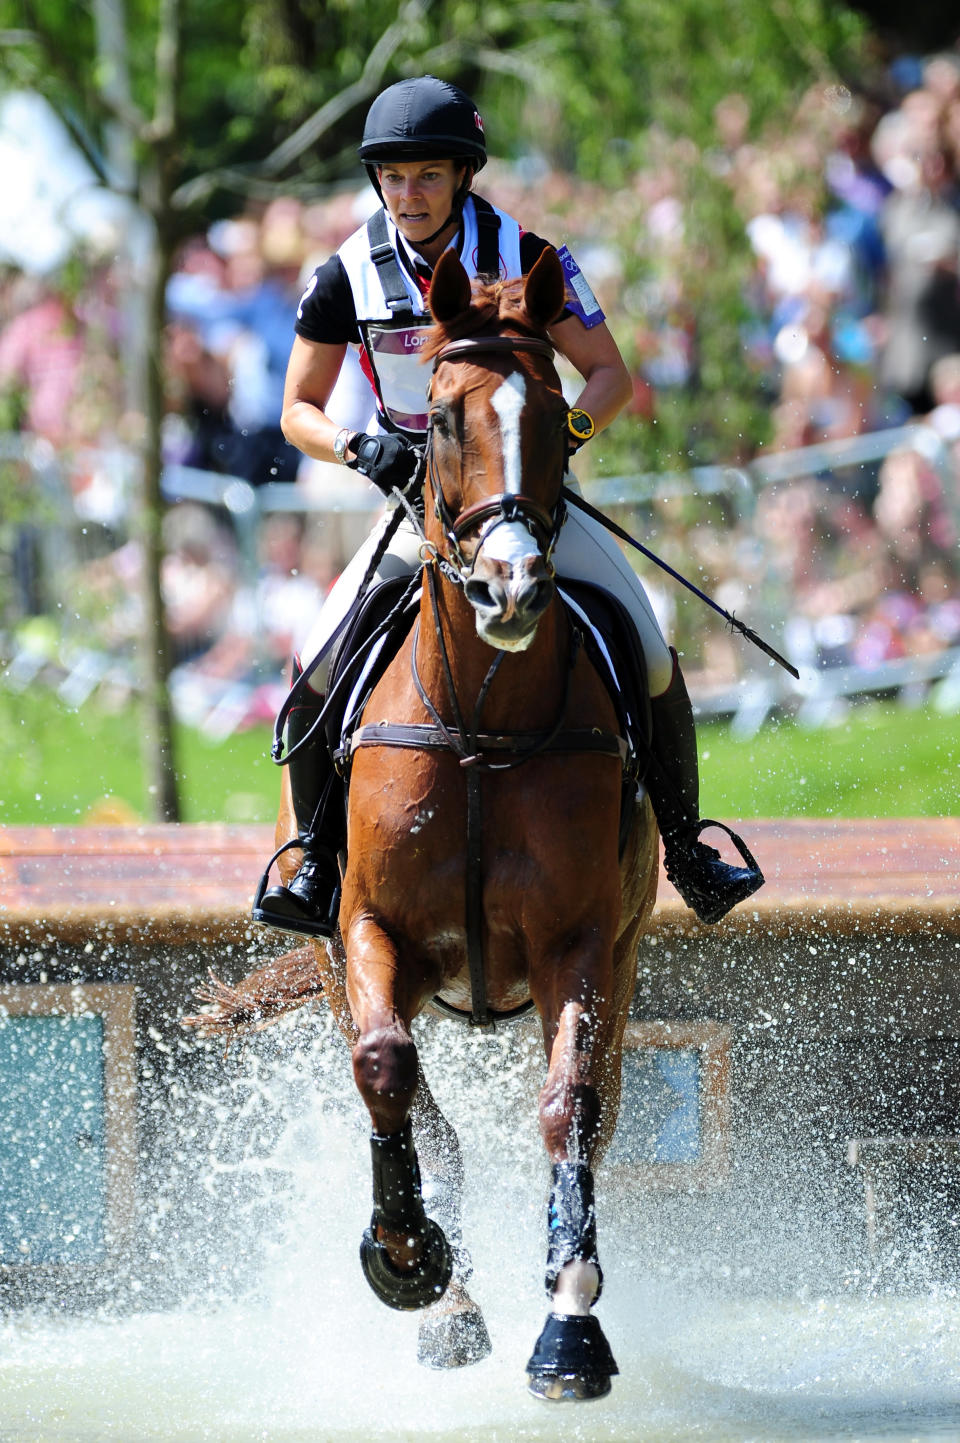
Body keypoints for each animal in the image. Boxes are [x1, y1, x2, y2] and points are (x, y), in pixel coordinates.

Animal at [194, 245, 658, 1396]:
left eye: (559, 415)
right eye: (441, 419)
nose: (512, 586)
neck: (482, 719)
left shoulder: (583, 943)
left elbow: (569, 1105)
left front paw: (570, 1326)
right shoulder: (369, 931)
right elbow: (388, 1073)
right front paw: (408, 1260)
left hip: (622, 958)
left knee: (596, 1103)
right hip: (335, 962)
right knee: (422, 1108)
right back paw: (449, 1300)